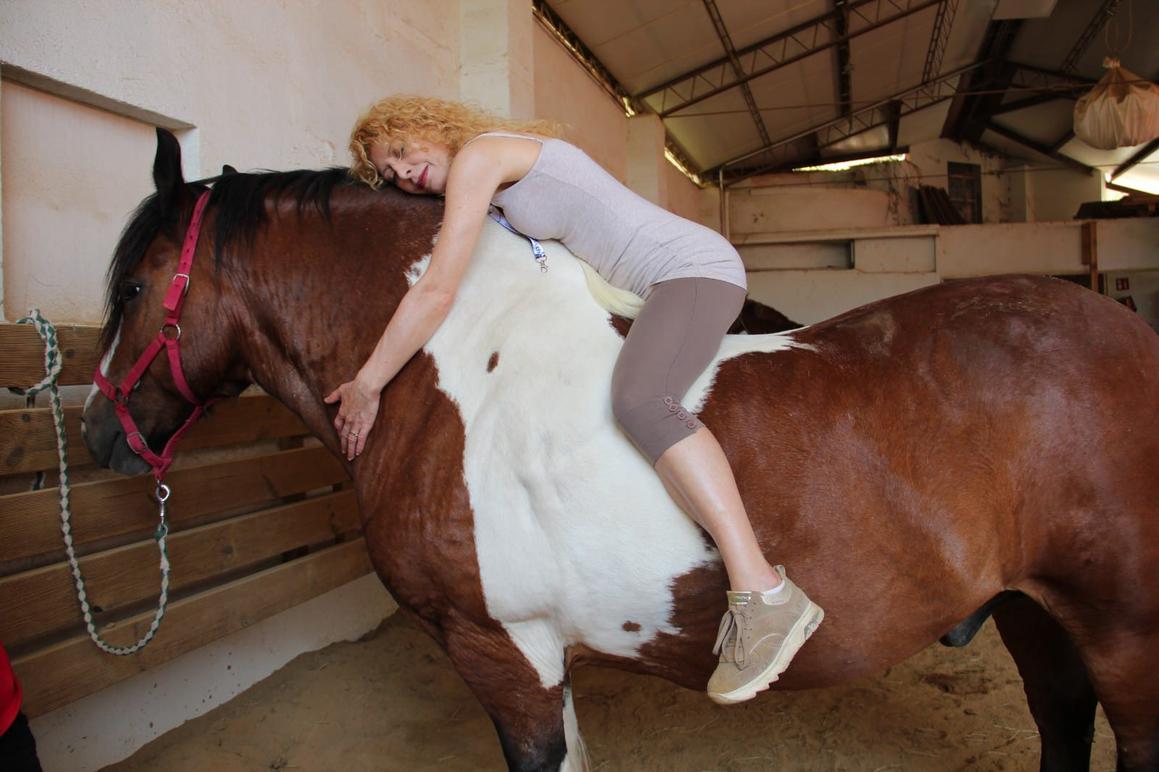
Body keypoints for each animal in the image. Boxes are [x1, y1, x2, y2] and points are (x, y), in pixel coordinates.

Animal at [84, 132, 1159, 769]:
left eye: (133, 287)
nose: (99, 436)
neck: (452, 365)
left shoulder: (500, 652)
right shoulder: (537, 660)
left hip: (1122, 631)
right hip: (1031, 610)